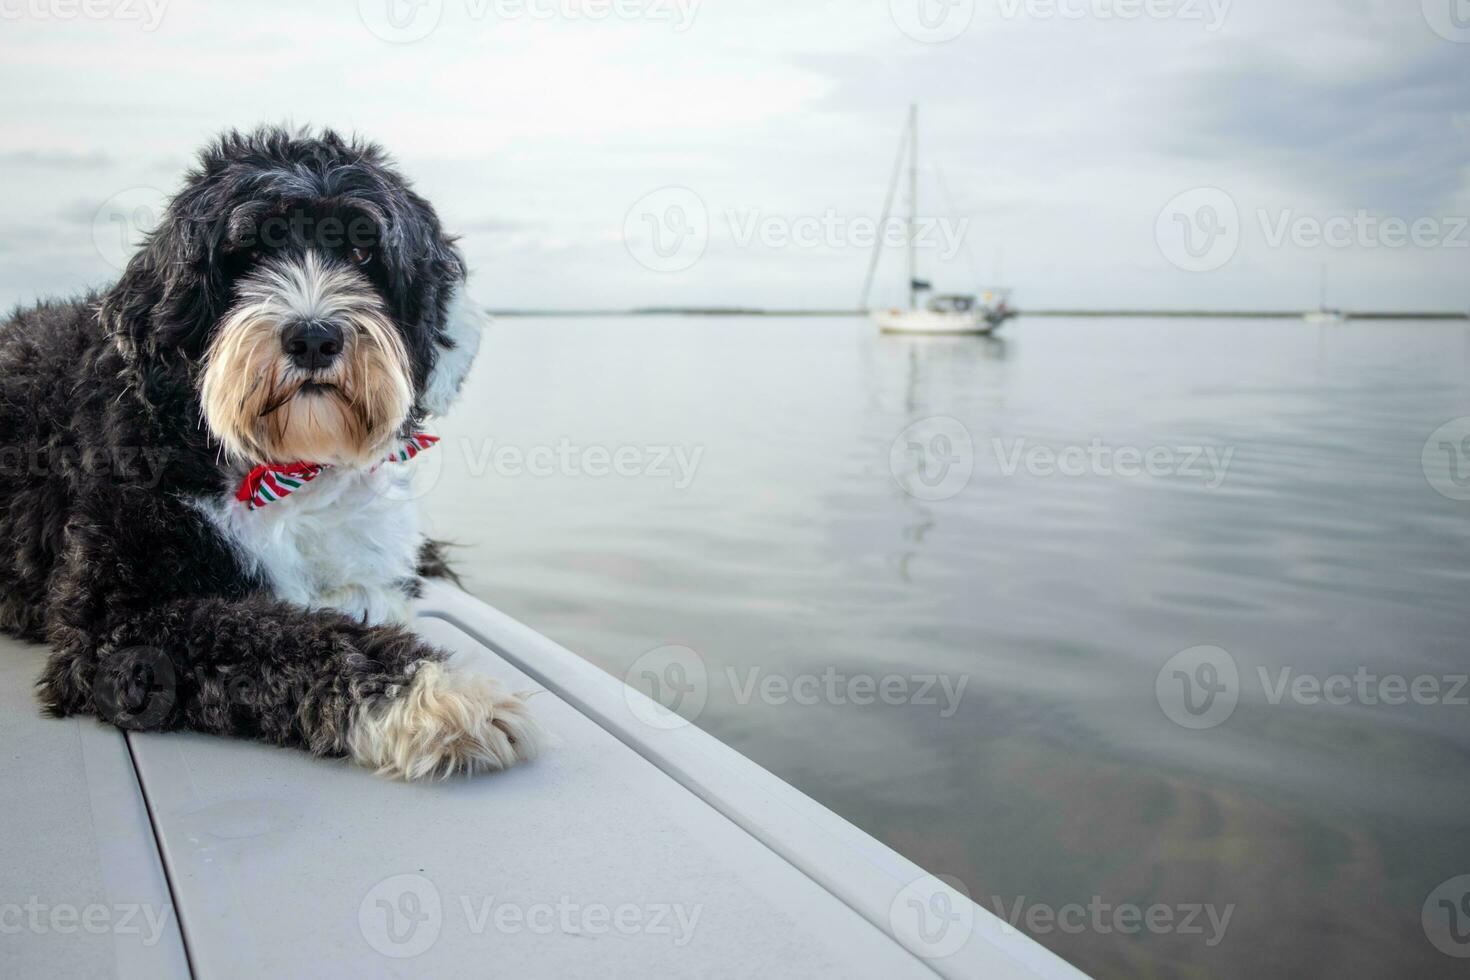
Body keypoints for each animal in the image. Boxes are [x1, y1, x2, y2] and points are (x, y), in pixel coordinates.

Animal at [0, 124, 546, 781]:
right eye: (248, 254)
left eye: (363, 254)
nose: (314, 337)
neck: (289, 469)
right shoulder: (114, 625)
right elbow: (272, 635)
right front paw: (435, 696)